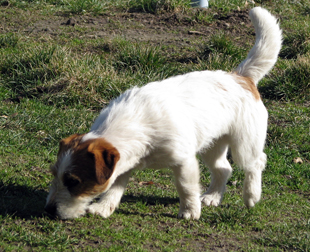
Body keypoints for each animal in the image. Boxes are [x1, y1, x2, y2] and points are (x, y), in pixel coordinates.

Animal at [44, 6, 282, 220]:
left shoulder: (184, 161)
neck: (137, 125)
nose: (49, 210)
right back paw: (213, 197)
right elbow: (114, 187)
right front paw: (104, 208)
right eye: (54, 174)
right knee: (223, 169)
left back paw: (251, 196)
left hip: (244, 145)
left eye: (73, 181)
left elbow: (186, 187)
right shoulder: (124, 163)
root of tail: (241, 77)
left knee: (256, 163)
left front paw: (190, 211)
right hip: (211, 145)